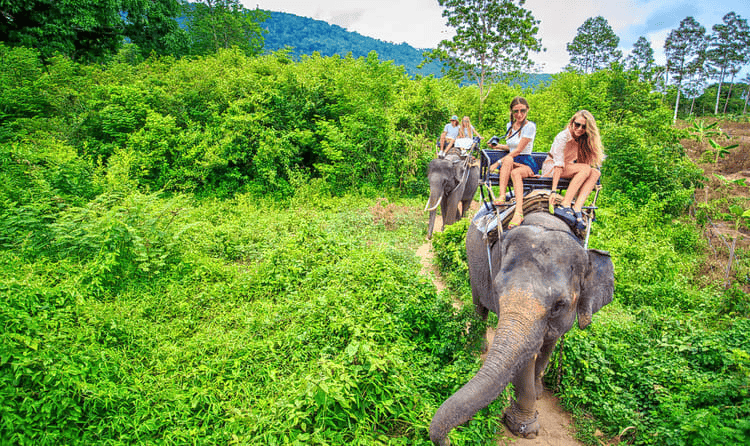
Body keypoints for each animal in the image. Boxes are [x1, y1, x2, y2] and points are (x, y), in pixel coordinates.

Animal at [429, 208, 614, 445]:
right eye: (497, 289)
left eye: (559, 305)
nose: (450, 440)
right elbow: (526, 359)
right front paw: (526, 430)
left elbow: (549, 345)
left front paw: (538, 392)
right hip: (472, 258)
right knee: (478, 302)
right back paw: (478, 348)